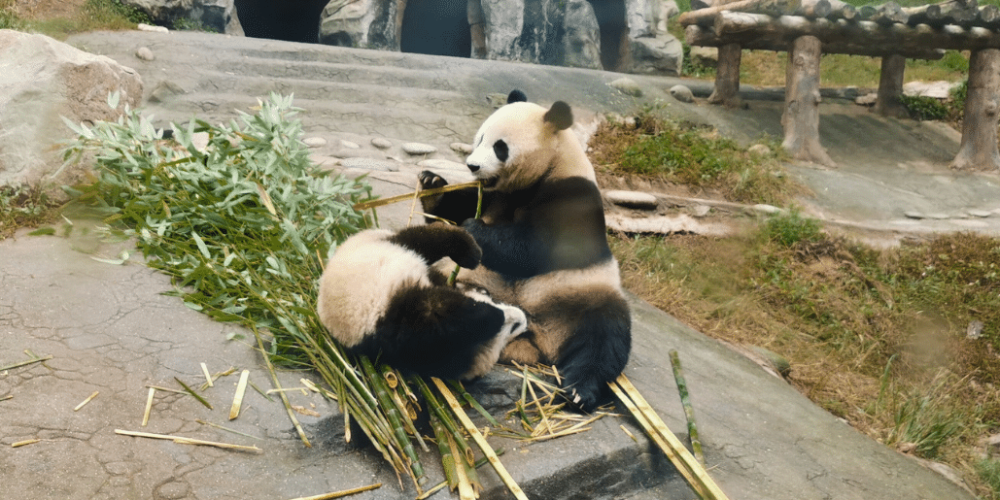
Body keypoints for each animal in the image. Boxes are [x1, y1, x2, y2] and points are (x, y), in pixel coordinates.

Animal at [316, 224, 528, 380]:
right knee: (423, 238)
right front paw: (493, 315)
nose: (523, 320)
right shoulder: (405, 320)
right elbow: (443, 313)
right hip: (383, 250)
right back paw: (471, 253)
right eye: (512, 328)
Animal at [418, 90, 631, 410]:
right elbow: (460, 205)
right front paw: (432, 185)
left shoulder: (573, 196)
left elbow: (536, 250)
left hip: (584, 296)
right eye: (480, 138)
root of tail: (534, 340)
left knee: (604, 338)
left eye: (500, 147)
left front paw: (475, 229)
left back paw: (580, 390)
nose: (472, 166)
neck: (552, 164)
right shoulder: (495, 195)